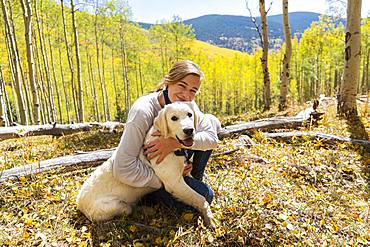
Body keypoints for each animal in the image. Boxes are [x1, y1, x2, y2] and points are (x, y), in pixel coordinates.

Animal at [76, 102, 214, 226]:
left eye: (190, 114)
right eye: (173, 118)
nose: (189, 130)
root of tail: (78, 203)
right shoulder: (174, 183)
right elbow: (201, 198)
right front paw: (209, 218)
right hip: (117, 206)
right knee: (130, 210)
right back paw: (146, 210)